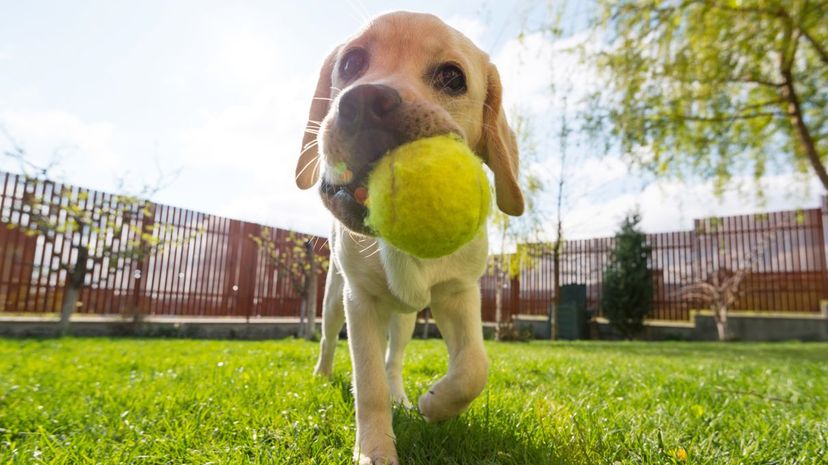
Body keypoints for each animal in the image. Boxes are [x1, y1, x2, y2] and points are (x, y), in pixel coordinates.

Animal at [294, 10, 520, 464]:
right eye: (351, 63)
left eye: (452, 78)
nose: (363, 102)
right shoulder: (359, 303)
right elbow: (368, 387)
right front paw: (375, 451)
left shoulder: (459, 292)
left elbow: (474, 366)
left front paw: (435, 404)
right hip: (333, 298)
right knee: (327, 340)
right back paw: (322, 375)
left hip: (405, 319)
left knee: (393, 360)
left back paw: (402, 395)